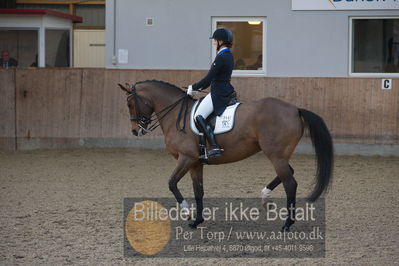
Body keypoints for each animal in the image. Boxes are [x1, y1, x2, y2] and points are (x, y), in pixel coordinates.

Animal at [119, 79, 334, 231]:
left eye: (129, 103)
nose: (135, 131)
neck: (176, 115)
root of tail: (296, 109)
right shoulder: (196, 163)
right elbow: (198, 190)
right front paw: (197, 220)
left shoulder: (186, 158)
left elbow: (171, 183)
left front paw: (187, 212)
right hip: (279, 154)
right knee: (288, 173)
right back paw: (265, 197)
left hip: (275, 155)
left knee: (290, 183)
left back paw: (287, 224)